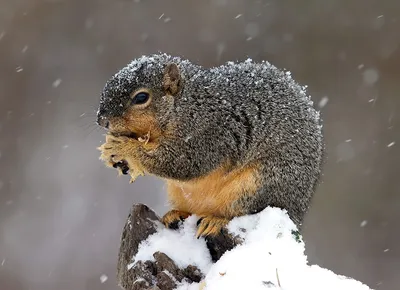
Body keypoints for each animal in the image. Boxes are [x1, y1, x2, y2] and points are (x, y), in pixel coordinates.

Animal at [97, 52, 324, 238]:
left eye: (141, 97)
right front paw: (114, 157)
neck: (185, 104)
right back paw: (177, 214)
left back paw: (216, 221)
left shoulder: (208, 133)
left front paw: (124, 149)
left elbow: (182, 162)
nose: (102, 121)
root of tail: (296, 214)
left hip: (259, 184)